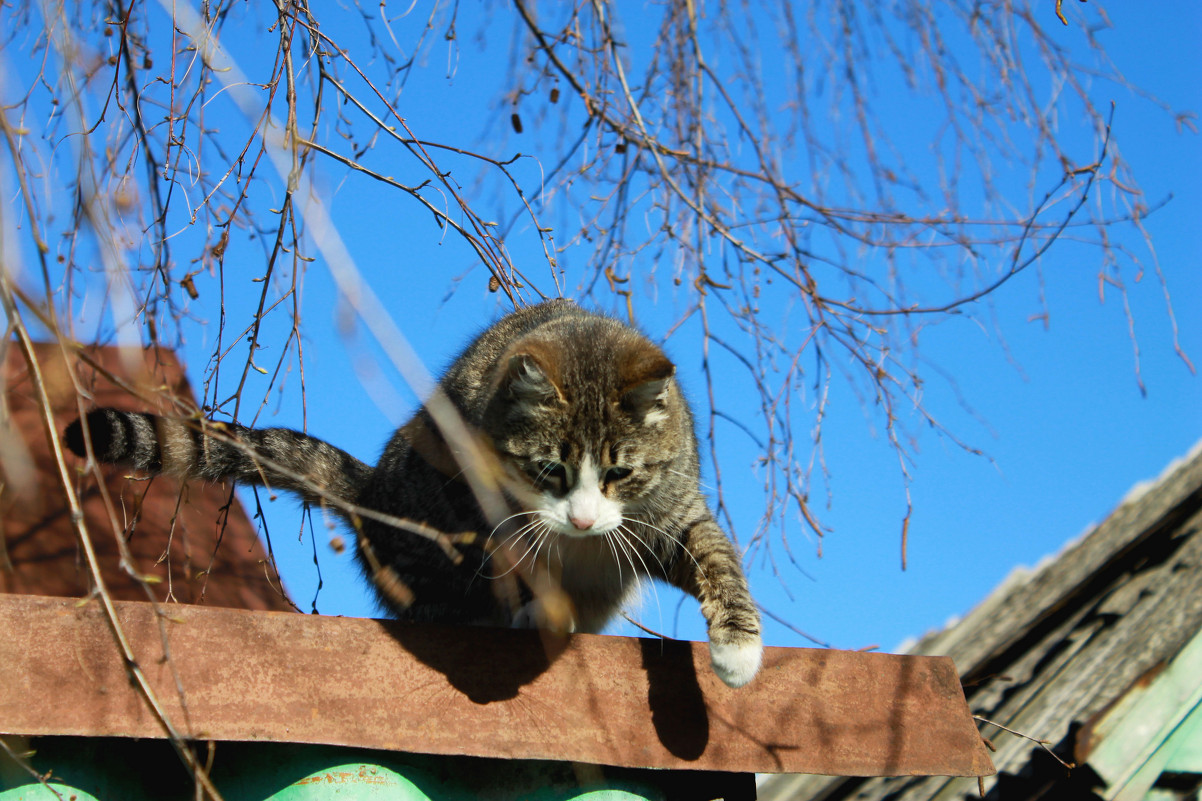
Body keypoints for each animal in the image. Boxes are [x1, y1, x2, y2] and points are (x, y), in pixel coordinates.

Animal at [65, 299, 759, 687]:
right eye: (549, 471)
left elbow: (715, 556)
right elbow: (522, 564)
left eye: (618, 475)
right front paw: (540, 610)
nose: (585, 523)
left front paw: (738, 649)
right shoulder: (487, 513)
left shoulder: (672, 511)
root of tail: (372, 487)